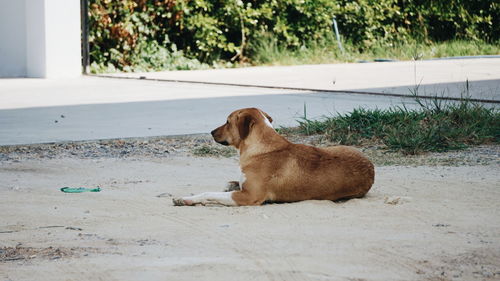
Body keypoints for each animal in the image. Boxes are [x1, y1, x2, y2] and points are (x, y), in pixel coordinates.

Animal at [172, 107, 372, 206]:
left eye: (227, 122)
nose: (211, 132)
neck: (261, 147)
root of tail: (372, 167)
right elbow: (227, 184)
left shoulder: (248, 197)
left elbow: (209, 194)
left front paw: (186, 199)